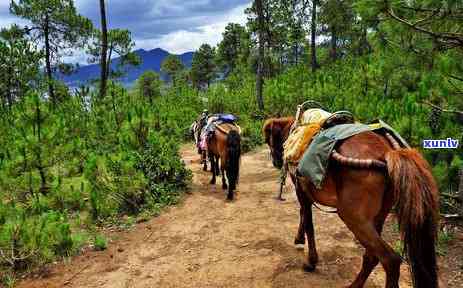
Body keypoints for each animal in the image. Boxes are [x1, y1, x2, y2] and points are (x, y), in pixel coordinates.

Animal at [262, 117, 440, 288]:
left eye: (268, 140)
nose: (276, 162)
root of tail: (387, 152)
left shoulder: (302, 193)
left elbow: (308, 224)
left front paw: (311, 261)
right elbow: (303, 217)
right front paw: (299, 239)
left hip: (353, 217)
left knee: (390, 260)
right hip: (378, 216)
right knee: (372, 256)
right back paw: (355, 284)